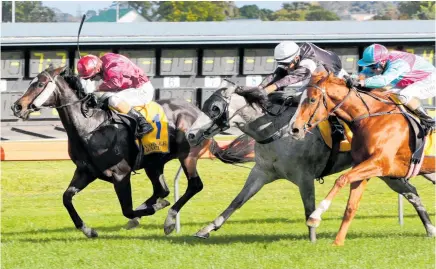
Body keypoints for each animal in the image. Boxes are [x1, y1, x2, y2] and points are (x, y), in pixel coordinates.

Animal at [11, 66, 254, 238]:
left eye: (39, 84)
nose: (17, 106)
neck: (91, 127)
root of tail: (200, 112)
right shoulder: (85, 172)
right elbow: (66, 198)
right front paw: (88, 230)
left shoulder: (120, 174)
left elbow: (127, 209)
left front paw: (155, 209)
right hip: (154, 163)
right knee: (162, 189)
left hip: (188, 156)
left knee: (194, 185)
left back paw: (168, 219)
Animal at [290, 71, 436, 245]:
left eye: (312, 99)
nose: (294, 129)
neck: (370, 117)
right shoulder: (362, 165)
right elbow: (351, 206)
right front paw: (337, 242)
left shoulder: (379, 163)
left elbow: (342, 179)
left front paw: (315, 216)